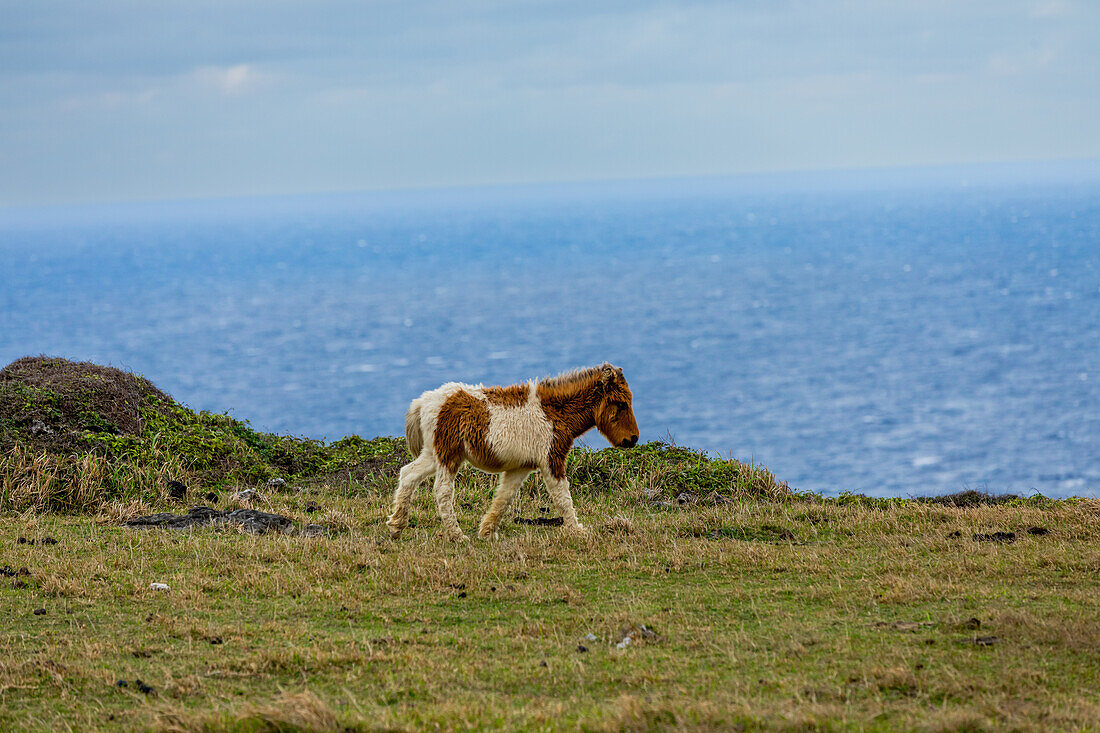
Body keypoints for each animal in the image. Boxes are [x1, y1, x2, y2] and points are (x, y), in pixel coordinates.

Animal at [391, 363, 642, 539]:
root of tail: (423, 402)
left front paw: (487, 532)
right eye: (621, 403)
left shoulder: (520, 468)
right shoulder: (551, 460)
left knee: (408, 474)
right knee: (442, 491)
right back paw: (456, 535)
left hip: (433, 454)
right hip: (448, 455)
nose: (633, 439)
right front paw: (578, 531)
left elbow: (504, 497)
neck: (554, 413)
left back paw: (396, 527)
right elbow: (563, 496)